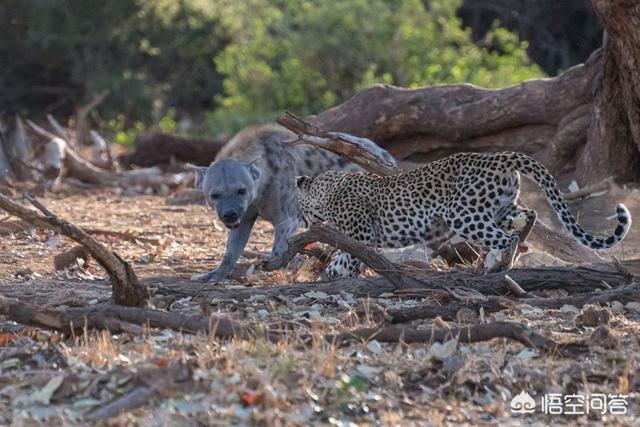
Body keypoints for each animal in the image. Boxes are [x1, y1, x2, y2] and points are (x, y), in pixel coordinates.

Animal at [298, 152, 632, 280]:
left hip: (463, 214)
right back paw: (504, 257)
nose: (300, 223)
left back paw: (499, 267)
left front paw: (339, 274)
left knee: (506, 237)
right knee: (529, 214)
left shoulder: (361, 233)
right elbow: (346, 255)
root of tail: (501, 156)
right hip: (498, 208)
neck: (328, 190)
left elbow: (349, 255)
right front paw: (334, 273)